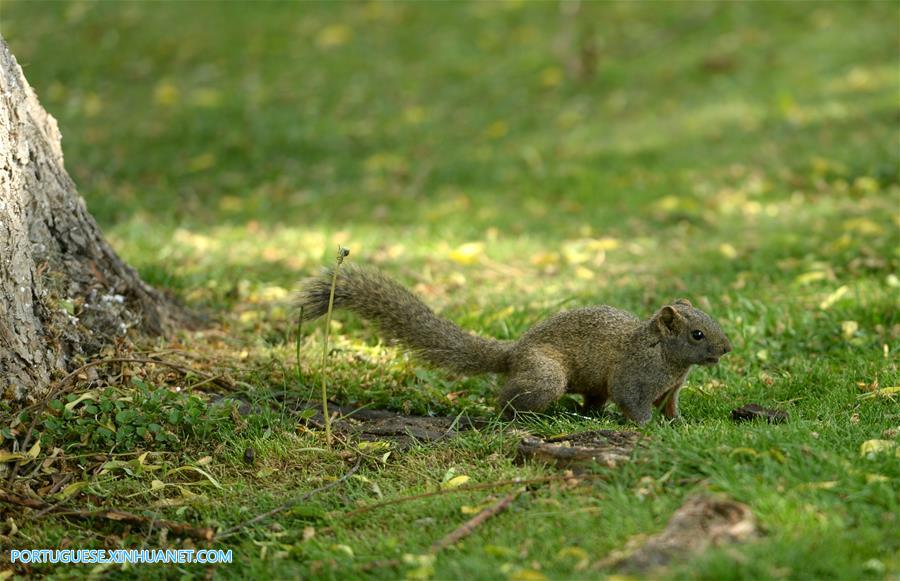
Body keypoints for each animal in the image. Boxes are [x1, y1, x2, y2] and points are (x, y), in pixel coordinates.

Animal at [296, 266, 732, 424]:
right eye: (697, 334)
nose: (727, 348)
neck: (668, 360)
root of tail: (515, 351)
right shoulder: (633, 377)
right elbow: (633, 403)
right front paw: (648, 429)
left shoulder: (672, 388)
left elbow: (671, 406)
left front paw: (679, 425)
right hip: (545, 375)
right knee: (506, 397)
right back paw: (517, 417)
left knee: (591, 401)